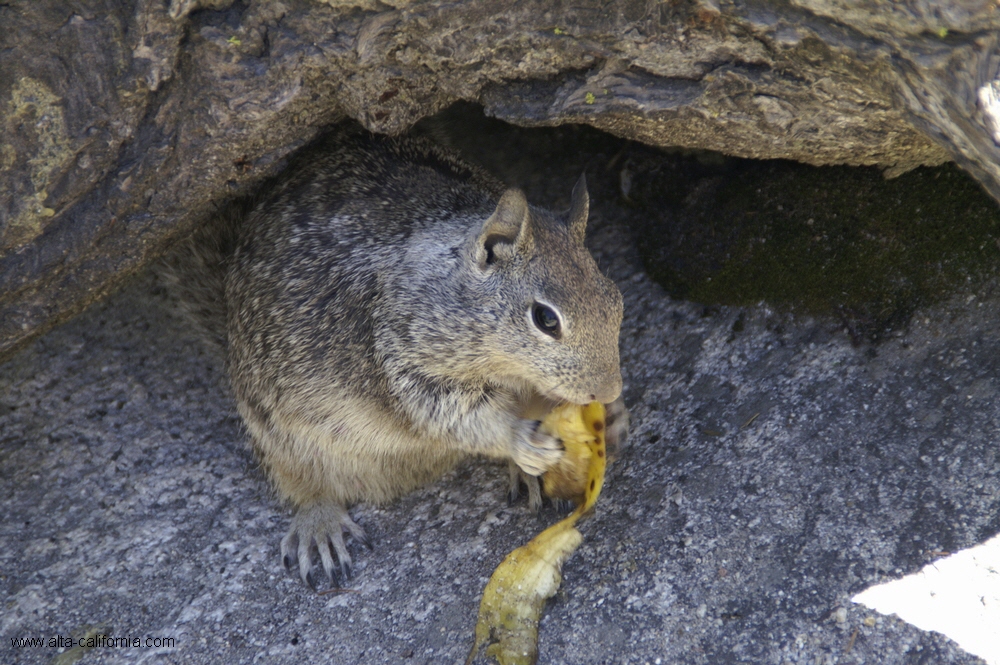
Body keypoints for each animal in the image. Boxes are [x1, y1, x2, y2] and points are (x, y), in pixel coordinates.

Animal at [168, 123, 628, 588]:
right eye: (546, 319)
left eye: (615, 299)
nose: (607, 390)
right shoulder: (404, 363)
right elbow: (456, 416)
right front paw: (520, 438)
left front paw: (613, 418)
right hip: (279, 438)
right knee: (303, 486)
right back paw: (319, 524)